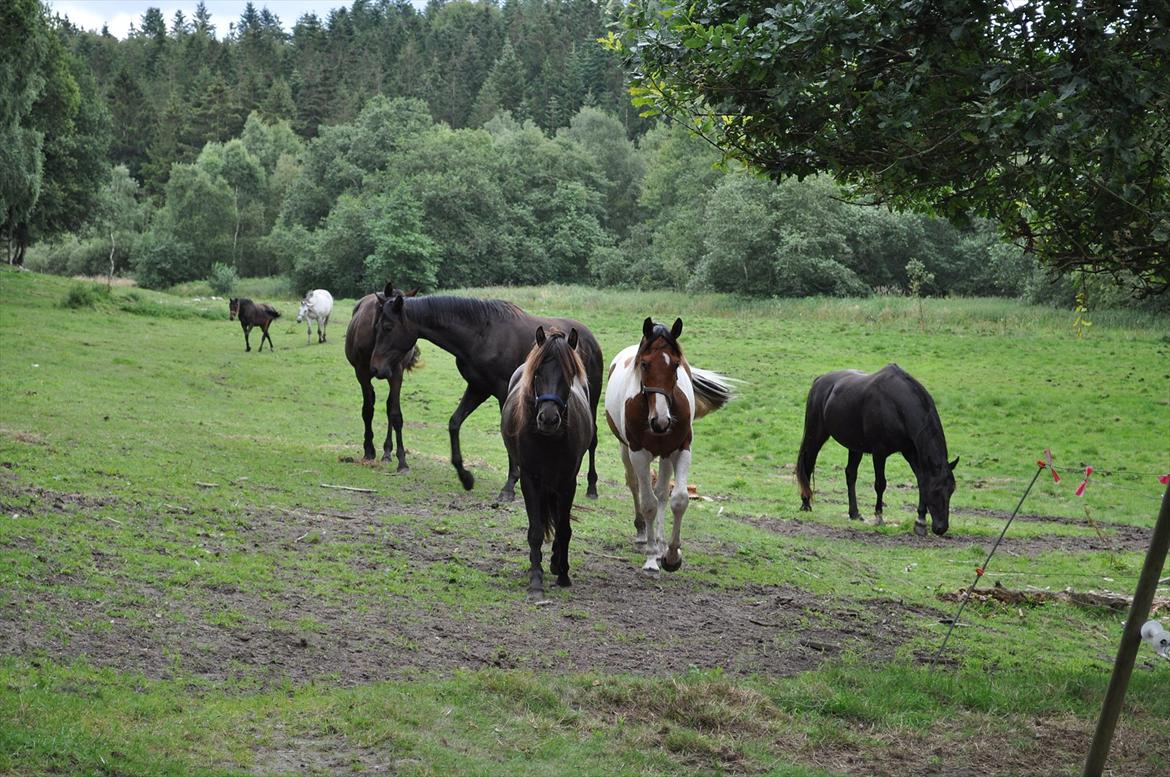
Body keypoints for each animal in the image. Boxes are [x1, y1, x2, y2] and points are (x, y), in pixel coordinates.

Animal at [341, 287, 421, 470]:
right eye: (385, 325)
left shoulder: (396, 373)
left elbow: (395, 414)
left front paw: (402, 460)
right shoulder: (362, 374)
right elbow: (367, 410)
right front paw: (368, 450)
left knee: (389, 405)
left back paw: (387, 452)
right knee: (371, 399)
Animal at [367, 282, 603, 500]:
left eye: (388, 326)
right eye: (376, 325)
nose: (376, 368)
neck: (482, 334)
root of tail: (590, 338)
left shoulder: (502, 392)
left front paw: (509, 487)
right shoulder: (478, 388)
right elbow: (454, 423)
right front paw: (465, 476)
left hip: (590, 400)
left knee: (592, 439)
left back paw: (591, 487)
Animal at [500, 325, 594, 596]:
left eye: (569, 373)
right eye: (538, 373)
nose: (549, 419)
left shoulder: (567, 482)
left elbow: (563, 529)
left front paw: (563, 573)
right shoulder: (530, 480)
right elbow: (536, 530)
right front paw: (536, 579)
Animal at [603, 315, 730, 575]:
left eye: (676, 365)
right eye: (644, 364)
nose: (661, 421)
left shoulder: (680, 449)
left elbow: (678, 499)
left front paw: (671, 555)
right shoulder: (639, 454)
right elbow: (649, 503)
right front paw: (652, 558)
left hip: (665, 456)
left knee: (662, 493)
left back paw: (661, 544)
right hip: (625, 450)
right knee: (635, 486)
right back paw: (643, 535)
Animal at [795, 365, 959, 538]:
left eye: (951, 489)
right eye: (935, 491)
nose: (941, 528)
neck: (896, 405)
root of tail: (819, 380)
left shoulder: (910, 452)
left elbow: (921, 480)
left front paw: (920, 521)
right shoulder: (879, 452)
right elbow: (880, 484)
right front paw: (879, 517)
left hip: (855, 446)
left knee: (850, 474)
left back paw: (854, 513)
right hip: (816, 434)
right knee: (808, 465)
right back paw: (806, 504)